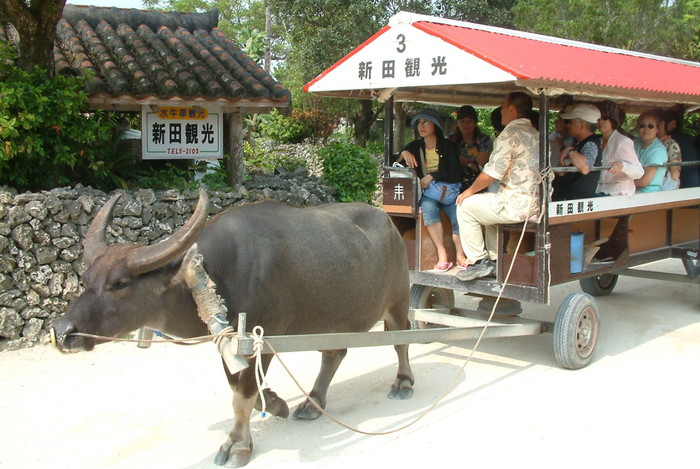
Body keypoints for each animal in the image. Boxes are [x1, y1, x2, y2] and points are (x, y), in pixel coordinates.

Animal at [54, 189, 416, 464]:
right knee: (334, 354)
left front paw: (237, 444)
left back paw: (402, 383)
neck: (217, 275)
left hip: (398, 301)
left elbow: (242, 395)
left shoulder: (263, 339)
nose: (62, 331)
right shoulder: (228, 343)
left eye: (120, 283)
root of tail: (389, 224)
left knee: (401, 340)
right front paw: (275, 402)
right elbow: (239, 388)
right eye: (85, 278)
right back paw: (312, 402)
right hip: (335, 319)